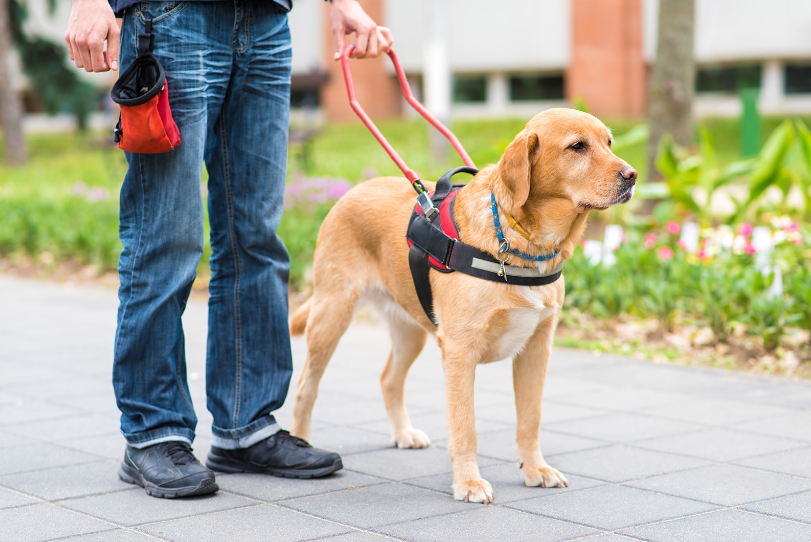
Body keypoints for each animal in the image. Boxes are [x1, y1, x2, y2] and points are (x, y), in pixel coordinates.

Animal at [288, 109, 636, 506]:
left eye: (609, 143)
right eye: (577, 146)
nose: (632, 175)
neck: (522, 242)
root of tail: (353, 190)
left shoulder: (536, 349)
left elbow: (530, 419)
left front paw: (535, 469)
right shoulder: (459, 352)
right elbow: (464, 426)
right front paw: (468, 481)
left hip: (410, 330)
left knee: (389, 378)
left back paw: (403, 433)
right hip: (331, 316)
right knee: (306, 386)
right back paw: (302, 443)